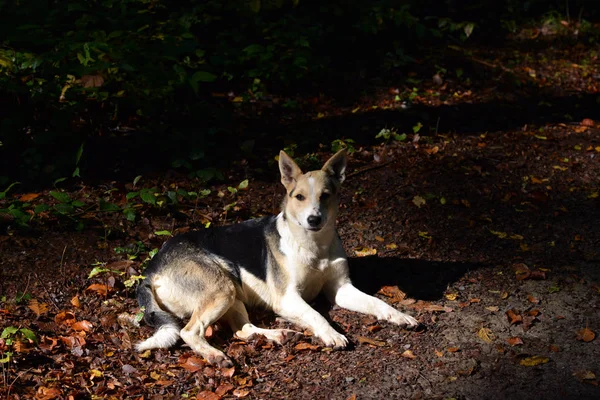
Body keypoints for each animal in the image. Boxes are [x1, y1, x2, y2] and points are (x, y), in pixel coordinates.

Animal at [136, 149, 418, 366]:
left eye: (325, 196)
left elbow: (376, 302)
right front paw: (331, 334)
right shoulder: (287, 298)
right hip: (222, 288)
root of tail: (151, 268)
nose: (314, 219)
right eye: (299, 197)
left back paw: (280, 334)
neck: (313, 244)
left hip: (231, 291)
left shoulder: (342, 290)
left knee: (242, 330)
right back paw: (215, 355)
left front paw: (398, 315)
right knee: (189, 331)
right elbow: (316, 314)